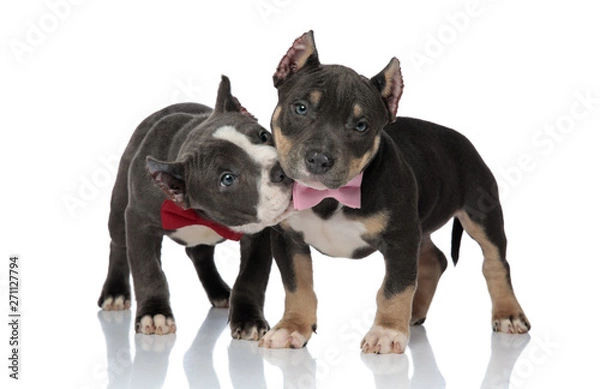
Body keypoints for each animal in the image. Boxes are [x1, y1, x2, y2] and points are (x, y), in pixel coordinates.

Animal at [98, 76, 292, 336]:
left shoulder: (258, 233)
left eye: (263, 135)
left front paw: (248, 319)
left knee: (199, 254)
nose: (281, 171)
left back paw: (220, 292)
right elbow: (148, 270)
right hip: (120, 206)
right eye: (227, 178)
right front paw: (155, 313)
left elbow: (252, 276)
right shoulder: (139, 221)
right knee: (118, 244)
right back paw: (115, 293)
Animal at [260, 30, 532, 352]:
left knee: (495, 262)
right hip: (421, 226)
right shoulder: (288, 238)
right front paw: (292, 327)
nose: (318, 159)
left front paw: (387, 331)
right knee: (434, 260)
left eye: (361, 126)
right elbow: (297, 285)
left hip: (481, 215)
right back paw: (414, 313)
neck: (330, 197)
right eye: (300, 108)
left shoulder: (401, 239)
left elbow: (395, 287)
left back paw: (508, 314)